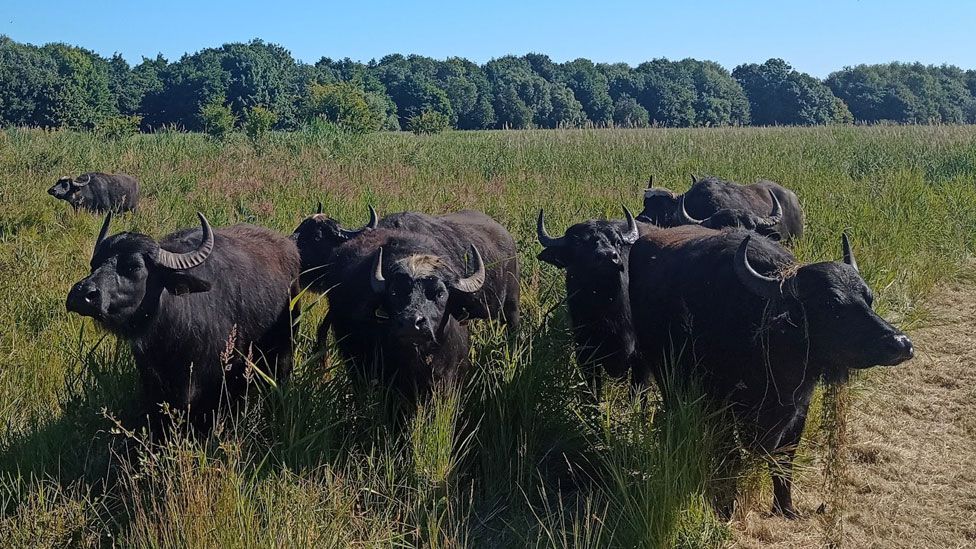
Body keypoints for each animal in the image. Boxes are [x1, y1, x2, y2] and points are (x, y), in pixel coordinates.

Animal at [628, 228, 912, 520]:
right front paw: (727, 508)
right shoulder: (722, 407)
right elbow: (732, 456)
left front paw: (785, 507)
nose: (901, 343)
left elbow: (785, 457)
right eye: (831, 304)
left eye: (868, 298)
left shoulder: (798, 407)